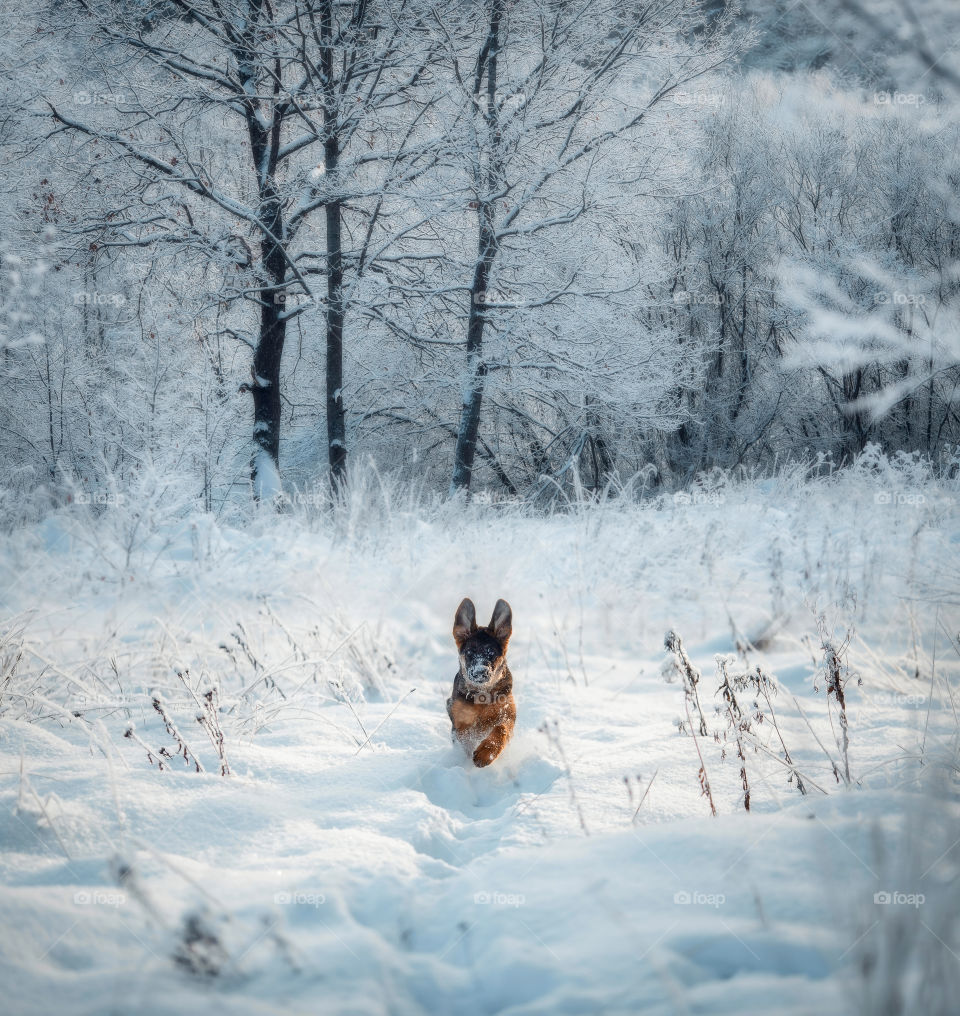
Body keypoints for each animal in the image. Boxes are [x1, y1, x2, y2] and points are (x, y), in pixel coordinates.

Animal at [444, 593, 514, 768]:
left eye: (491, 653)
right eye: (469, 652)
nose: (480, 672)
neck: (482, 695)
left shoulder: (508, 715)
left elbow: (500, 729)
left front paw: (486, 753)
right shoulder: (461, 724)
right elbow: (467, 740)